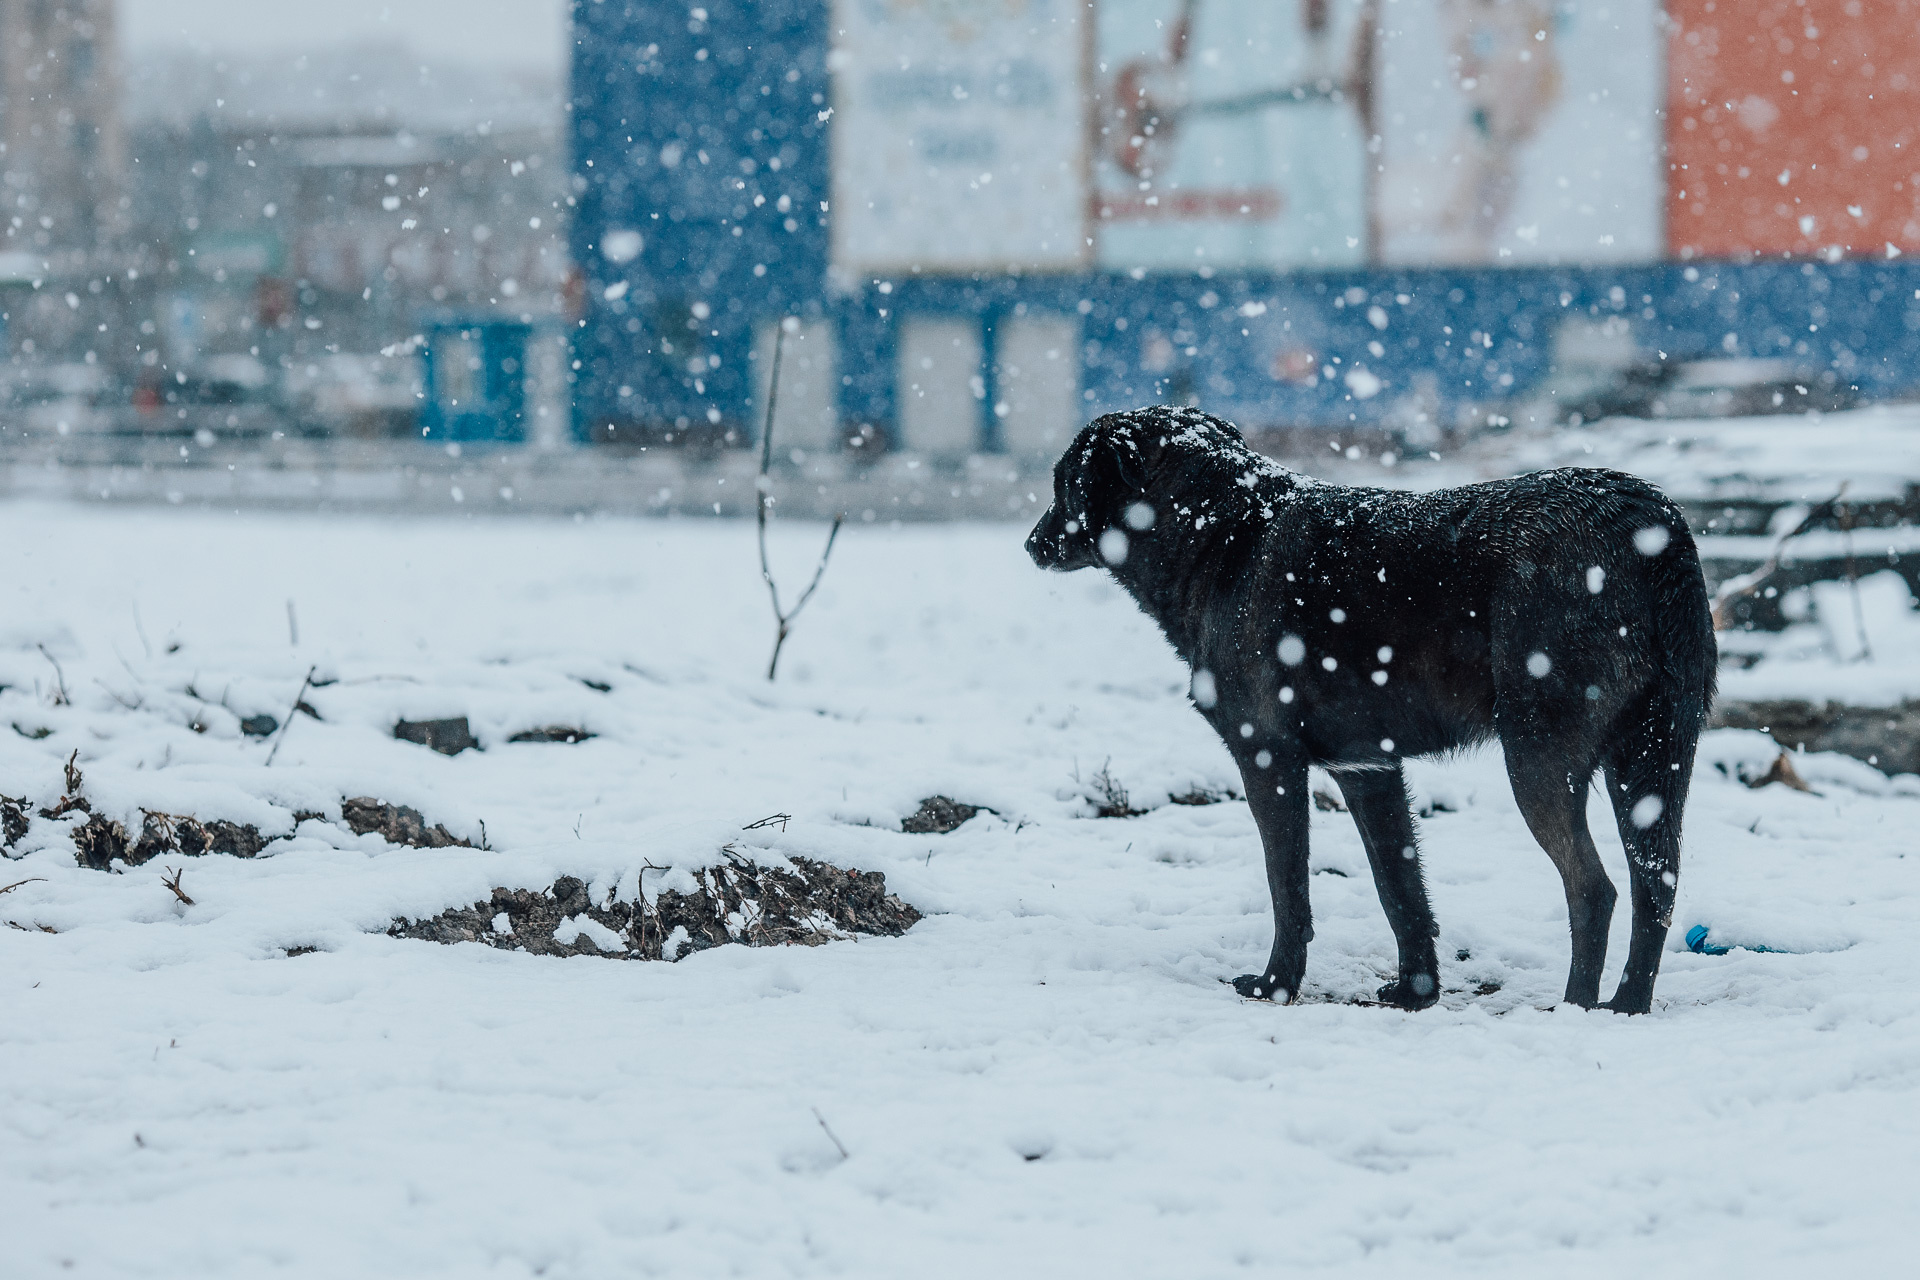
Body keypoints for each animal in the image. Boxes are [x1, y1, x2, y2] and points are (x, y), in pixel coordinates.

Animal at [1029, 404, 1720, 1013]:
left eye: (1064, 483)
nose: (1033, 544)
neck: (1224, 536)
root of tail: (1650, 525)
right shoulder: (1369, 771)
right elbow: (1401, 891)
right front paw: (1417, 994)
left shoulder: (1268, 760)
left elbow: (1289, 889)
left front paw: (1276, 986)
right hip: (1652, 765)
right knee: (1655, 886)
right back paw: (1627, 1007)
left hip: (1539, 763)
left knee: (1593, 889)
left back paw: (1576, 1008)